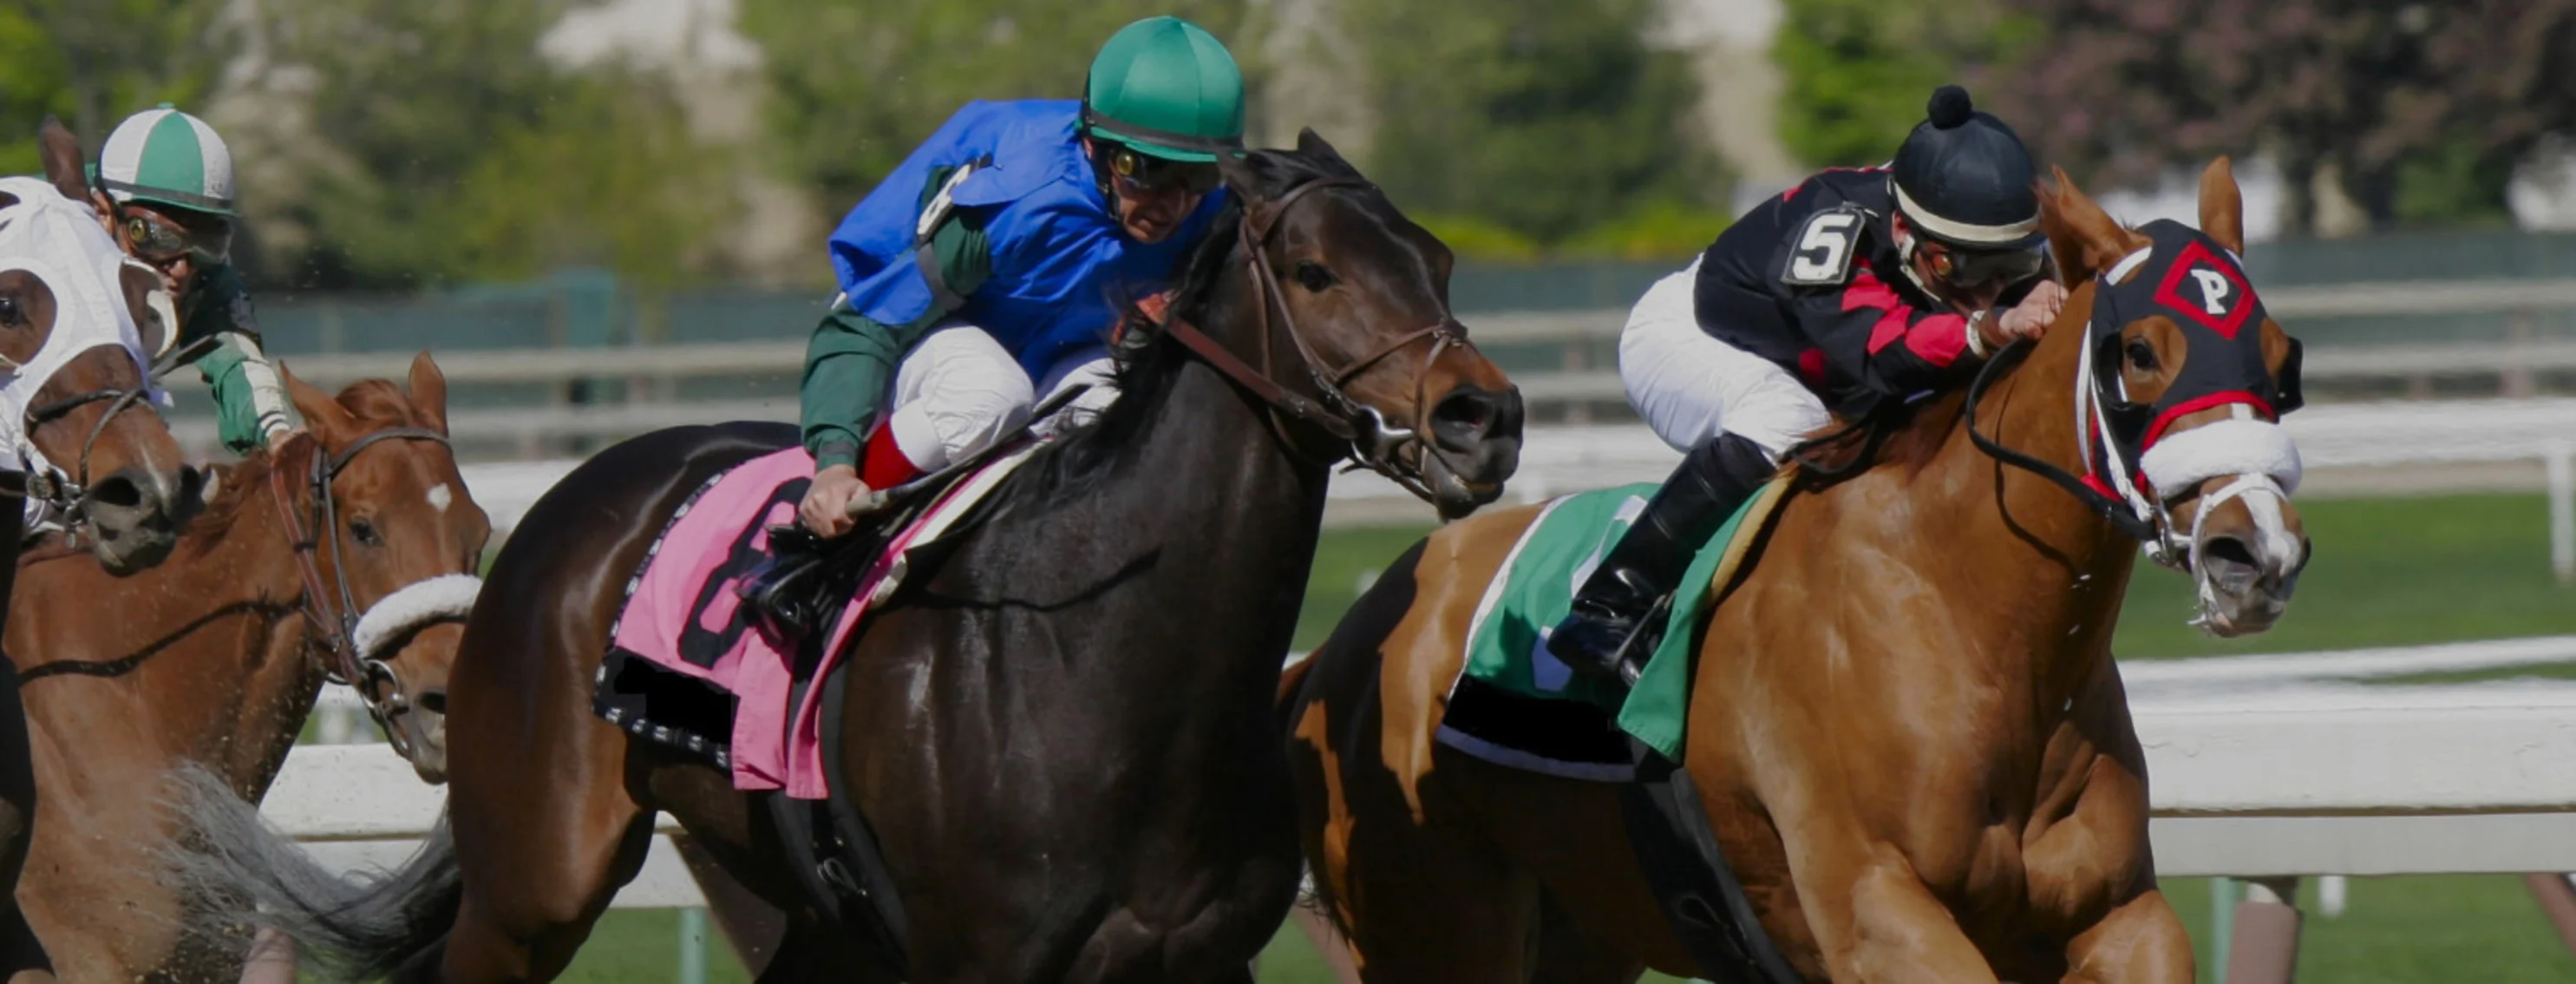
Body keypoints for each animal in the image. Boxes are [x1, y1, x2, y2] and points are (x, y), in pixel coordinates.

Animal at [181, 132, 1525, 984]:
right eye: (1314, 270)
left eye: (1439, 260)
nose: (1484, 418)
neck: (1107, 663)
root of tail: (558, 514)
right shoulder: (983, 959)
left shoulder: (1193, 958)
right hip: (535, 877)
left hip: (798, 901)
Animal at [1288, 157, 2318, 979]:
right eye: (2139, 350)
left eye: (2281, 359)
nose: (2256, 552)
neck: (1976, 622)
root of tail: (1339, 649)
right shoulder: (1874, 911)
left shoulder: (2118, 914)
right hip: (1442, 922)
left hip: (1581, 931)